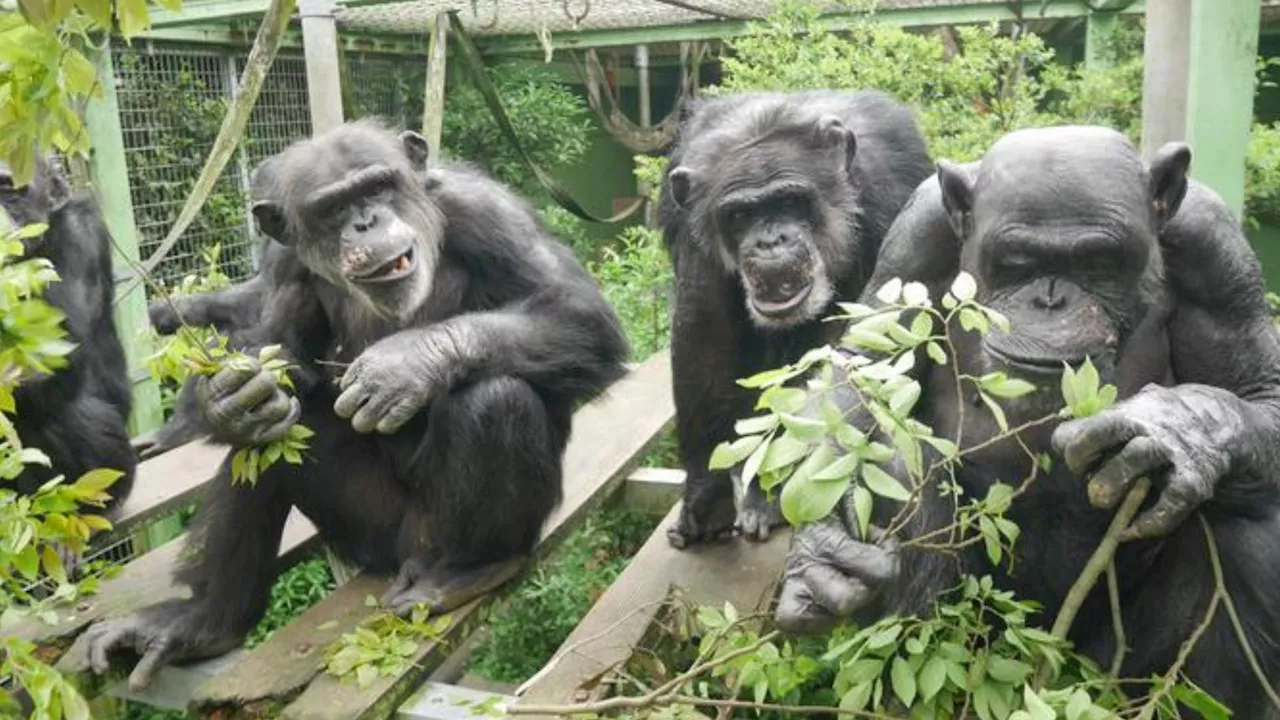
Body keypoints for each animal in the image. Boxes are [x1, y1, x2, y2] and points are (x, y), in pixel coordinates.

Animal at [80, 120, 629, 686]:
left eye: (377, 187)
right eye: (331, 209)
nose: (366, 223)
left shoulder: (488, 211)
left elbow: (578, 311)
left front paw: (405, 364)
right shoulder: (283, 261)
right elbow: (277, 348)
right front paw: (228, 398)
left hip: (433, 536)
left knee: (497, 398)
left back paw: (468, 571)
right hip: (365, 532)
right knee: (269, 442)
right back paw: (203, 620)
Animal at [660, 88, 931, 543]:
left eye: (789, 201)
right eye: (740, 215)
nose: (771, 241)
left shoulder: (893, 187)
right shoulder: (690, 226)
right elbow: (704, 331)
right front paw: (706, 495)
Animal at [768, 127, 1280, 712]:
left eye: (1097, 261)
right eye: (1018, 264)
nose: (1050, 298)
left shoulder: (1214, 249)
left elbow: (1258, 391)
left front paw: (1174, 429)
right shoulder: (916, 234)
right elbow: (864, 367)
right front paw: (820, 552)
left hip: (1113, 668)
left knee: (1250, 524)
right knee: (899, 470)